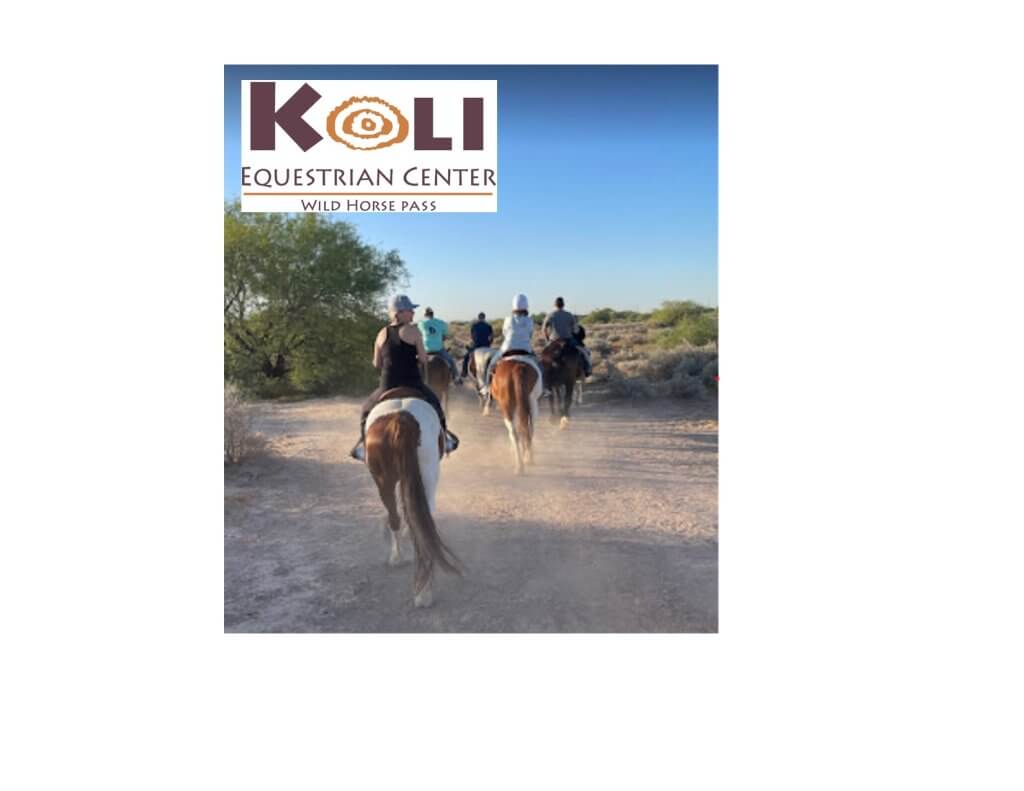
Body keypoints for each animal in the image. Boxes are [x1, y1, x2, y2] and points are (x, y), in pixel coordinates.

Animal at [364, 387, 461, 607]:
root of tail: (402, 421)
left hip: (384, 481)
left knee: (396, 517)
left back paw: (397, 558)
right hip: (426, 476)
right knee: (421, 522)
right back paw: (424, 592)